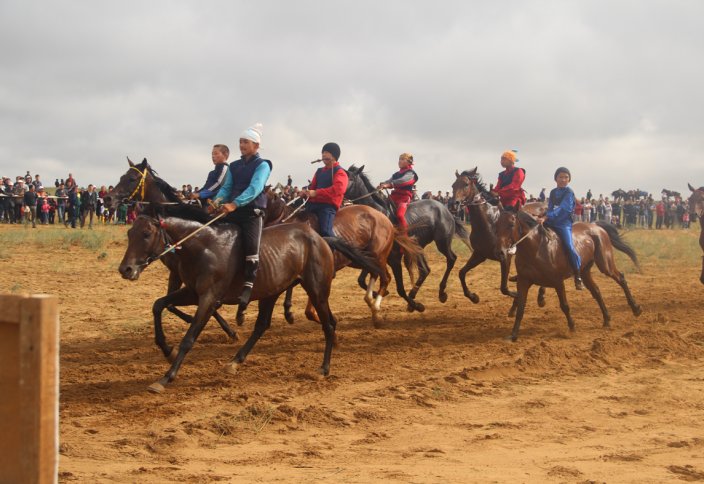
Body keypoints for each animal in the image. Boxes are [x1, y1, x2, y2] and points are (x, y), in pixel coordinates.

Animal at [103, 159, 238, 340]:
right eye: (121, 177)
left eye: (132, 179)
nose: (108, 199)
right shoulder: (177, 271)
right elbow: (171, 304)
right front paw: (191, 318)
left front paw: (228, 329)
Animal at [121, 202, 384, 392]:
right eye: (129, 232)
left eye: (146, 233)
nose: (125, 269)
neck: (204, 246)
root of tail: (321, 239)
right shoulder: (192, 292)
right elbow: (158, 305)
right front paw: (168, 350)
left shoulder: (209, 298)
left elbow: (189, 337)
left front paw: (167, 377)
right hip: (273, 291)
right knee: (263, 325)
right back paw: (235, 361)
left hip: (317, 290)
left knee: (328, 324)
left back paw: (324, 368)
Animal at [344, 164, 470, 312]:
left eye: (351, 178)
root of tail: (446, 210)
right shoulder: (373, 256)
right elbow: (361, 280)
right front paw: (383, 293)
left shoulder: (394, 259)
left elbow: (400, 289)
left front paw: (418, 306)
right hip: (418, 246)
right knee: (425, 270)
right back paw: (414, 295)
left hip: (442, 242)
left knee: (451, 259)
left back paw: (442, 294)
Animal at [452, 169, 552, 302]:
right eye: (453, 185)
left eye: (466, 184)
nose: (454, 204)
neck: (489, 223)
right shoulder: (479, 254)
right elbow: (461, 273)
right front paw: (473, 297)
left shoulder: (505, 257)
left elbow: (504, 288)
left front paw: (517, 295)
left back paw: (541, 293)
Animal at [496, 211, 644, 340]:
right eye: (496, 224)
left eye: (511, 224)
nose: (501, 252)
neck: (537, 248)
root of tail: (596, 226)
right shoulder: (523, 281)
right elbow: (520, 308)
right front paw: (513, 335)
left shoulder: (557, 281)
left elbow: (564, 305)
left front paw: (572, 326)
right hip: (585, 271)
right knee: (596, 291)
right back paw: (607, 319)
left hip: (605, 264)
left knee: (621, 279)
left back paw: (636, 309)